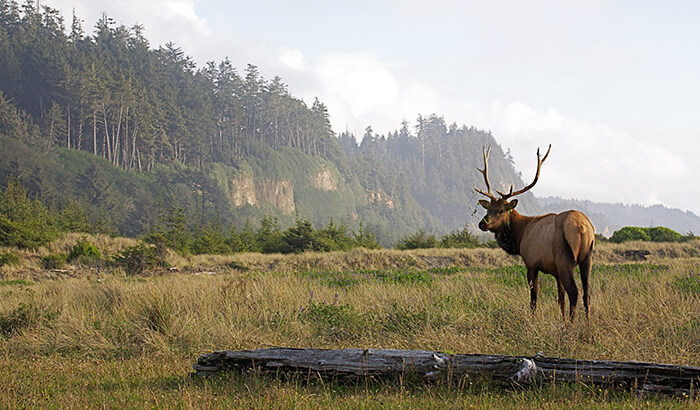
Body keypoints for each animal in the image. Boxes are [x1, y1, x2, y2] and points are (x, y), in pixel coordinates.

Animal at [474, 144, 592, 320]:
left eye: (501, 210)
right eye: (488, 209)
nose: (482, 223)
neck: (520, 235)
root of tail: (583, 228)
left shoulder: (532, 263)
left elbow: (534, 297)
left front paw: (533, 318)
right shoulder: (556, 272)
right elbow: (560, 298)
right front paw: (562, 321)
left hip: (565, 258)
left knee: (574, 293)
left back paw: (573, 324)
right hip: (587, 258)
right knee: (587, 293)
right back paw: (587, 322)